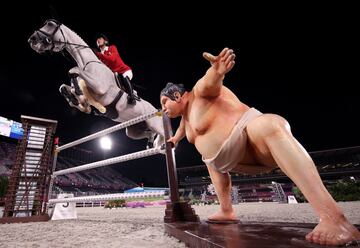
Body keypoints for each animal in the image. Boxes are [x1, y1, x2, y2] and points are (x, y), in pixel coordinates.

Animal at [28, 19, 165, 147]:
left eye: (50, 25)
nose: (32, 39)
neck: (87, 63)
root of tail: (157, 109)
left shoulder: (99, 87)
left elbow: (73, 70)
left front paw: (80, 97)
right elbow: (65, 87)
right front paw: (78, 101)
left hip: (155, 124)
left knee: (162, 134)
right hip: (134, 130)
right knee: (149, 134)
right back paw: (151, 143)